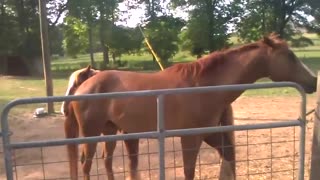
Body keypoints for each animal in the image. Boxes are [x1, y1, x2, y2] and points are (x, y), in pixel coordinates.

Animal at [66, 33, 316, 180]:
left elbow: (228, 158)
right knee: (86, 165)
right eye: (290, 56)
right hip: (91, 133)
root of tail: (85, 84)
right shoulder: (190, 138)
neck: (202, 86)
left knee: (105, 162)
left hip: (109, 130)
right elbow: (189, 171)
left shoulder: (210, 135)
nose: (314, 81)